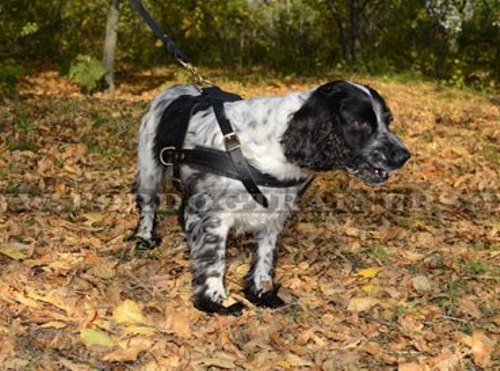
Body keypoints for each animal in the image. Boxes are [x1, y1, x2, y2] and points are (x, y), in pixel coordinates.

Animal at [133, 80, 410, 316]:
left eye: (388, 121)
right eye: (361, 123)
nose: (404, 155)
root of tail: (178, 87)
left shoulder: (274, 214)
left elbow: (265, 257)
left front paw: (261, 292)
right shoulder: (215, 216)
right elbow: (214, 259)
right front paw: (216, 300)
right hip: (149, 170)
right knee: (148, 204)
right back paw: (144, 237)